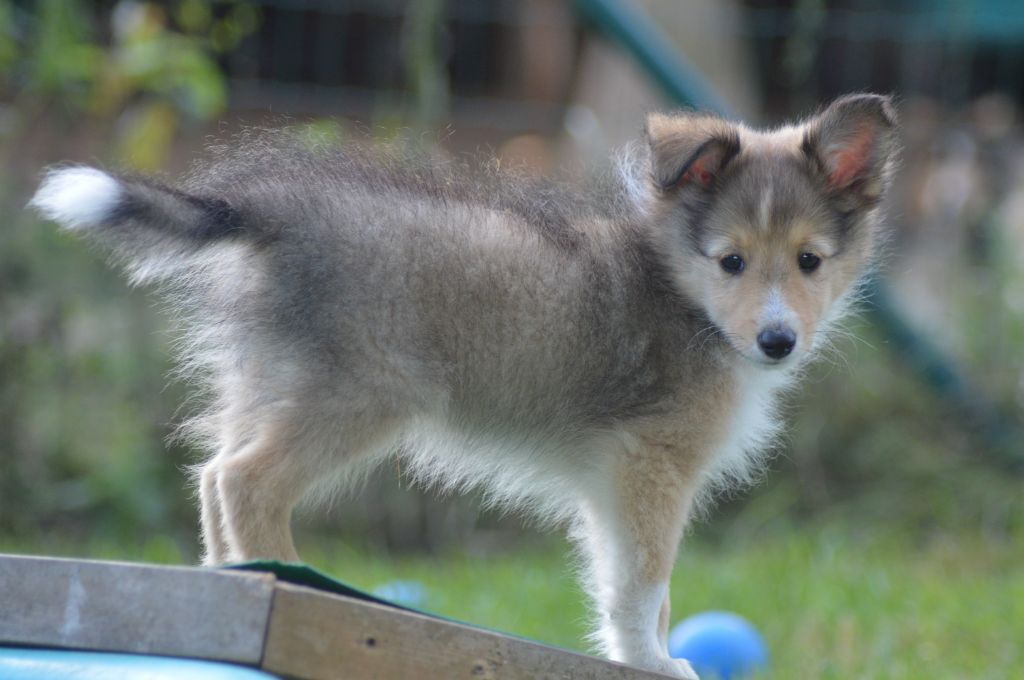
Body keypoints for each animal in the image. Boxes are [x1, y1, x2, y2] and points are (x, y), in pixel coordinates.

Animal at [30, 93, 897, 678]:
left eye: (810, 261)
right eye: (732, 261)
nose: (779, 341)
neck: (682, 293)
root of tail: (266, 210)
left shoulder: (618, 482)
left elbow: (641, 583)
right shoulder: (648, 464)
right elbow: (641, 584)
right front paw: (652, 660)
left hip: (270, 385)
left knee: (214, 475)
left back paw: (232, 578)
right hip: (356, 398)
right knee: (247, 482)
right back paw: (289, 578)